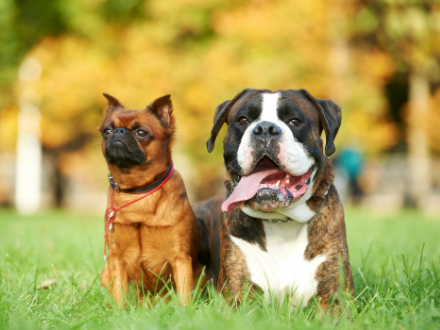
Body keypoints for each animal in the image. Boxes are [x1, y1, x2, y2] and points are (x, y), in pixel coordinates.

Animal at [98, 93, 201, 304]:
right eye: (107, 131)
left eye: (141, 133)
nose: (118, 132)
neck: (138, 190)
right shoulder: (116, 258)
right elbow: (119, 291)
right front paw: (119, 311)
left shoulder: (180, 258)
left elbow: (184, 293)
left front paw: (185, 311)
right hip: (105, 272)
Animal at [192, 89, 354, 308]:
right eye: (243, 120)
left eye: (295, 121)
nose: (265, 129)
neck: (280, 220)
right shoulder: (236, 298)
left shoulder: (335, 299)